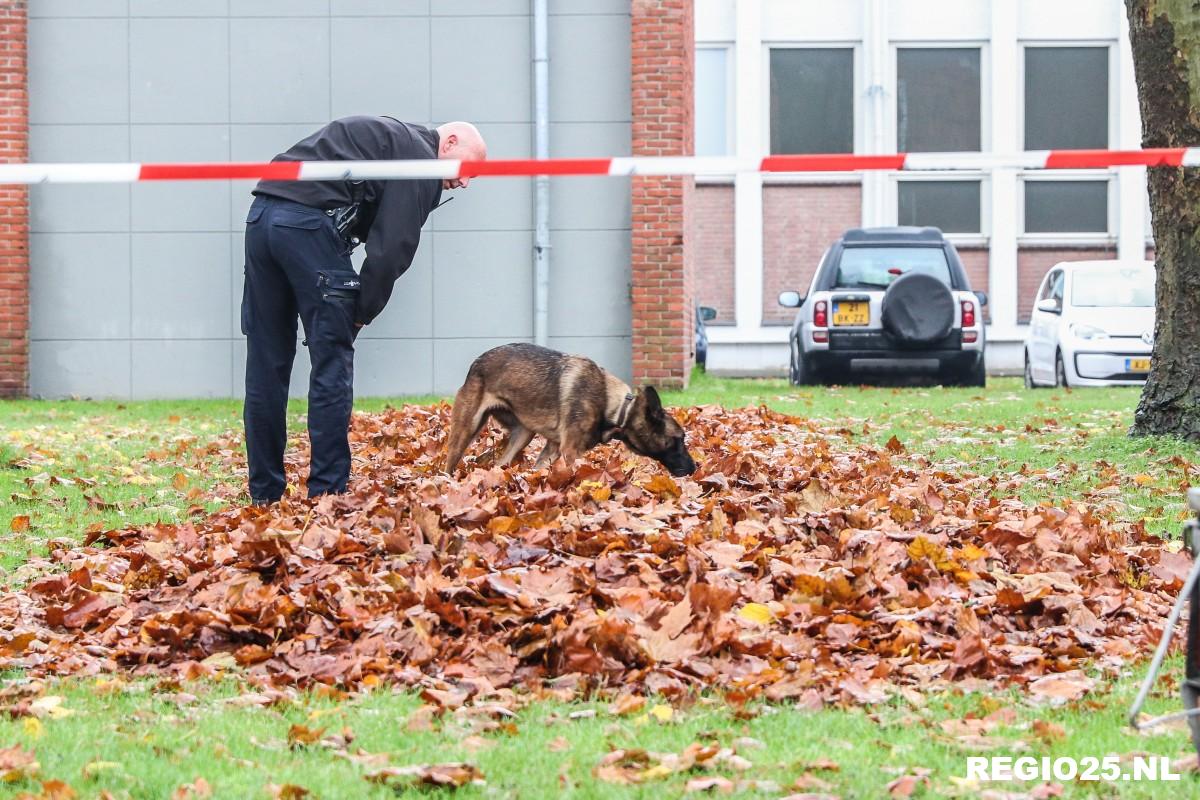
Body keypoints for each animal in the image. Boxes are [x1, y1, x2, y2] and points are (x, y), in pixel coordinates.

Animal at [446, 343, 700, 479]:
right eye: (679, 439)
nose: (694, 468)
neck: (617, 407)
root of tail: (476, 363)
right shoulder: (570, 451)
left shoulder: (552, 450)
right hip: (466, 430)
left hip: (523, 435)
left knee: (499, 465)